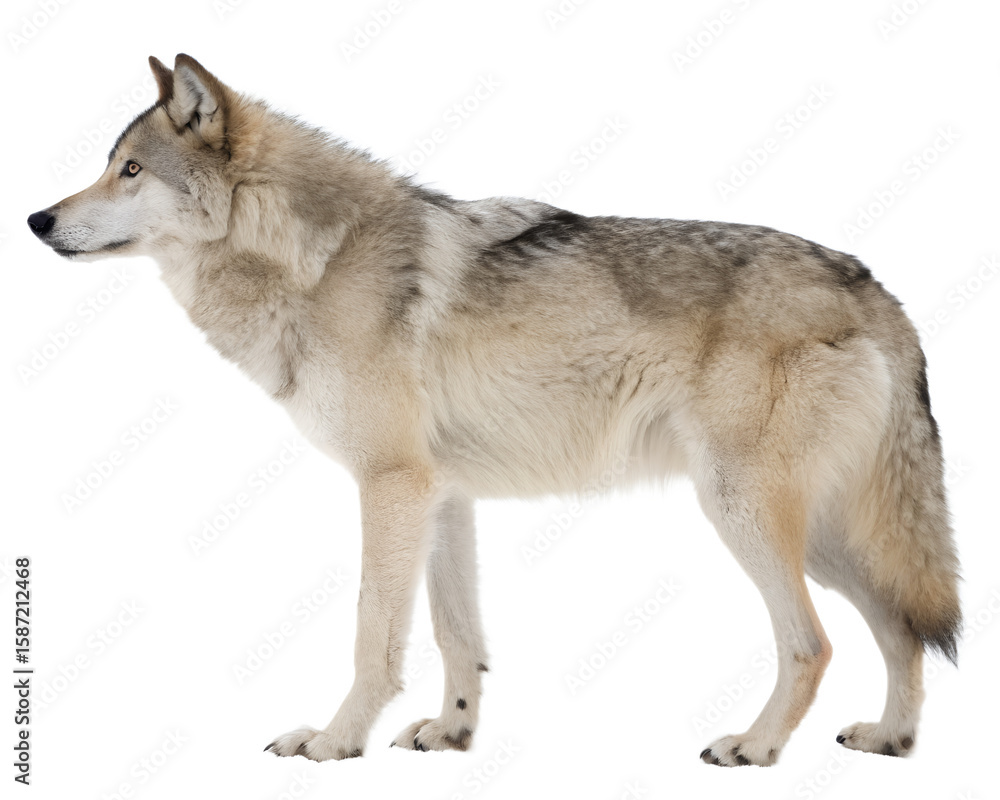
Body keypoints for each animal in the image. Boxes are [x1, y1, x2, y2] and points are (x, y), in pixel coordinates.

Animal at [28, 54, 961, 767]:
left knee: (815, 642)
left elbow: (373, 632)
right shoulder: (442, 496)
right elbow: (456, 637)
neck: (313, 258)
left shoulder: (390, 485)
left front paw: (334, 741)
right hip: (827, 532)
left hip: (747, 514)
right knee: (903, 627)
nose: (36, 218)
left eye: (130, 170)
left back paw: (755, 747)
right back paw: (891, 740)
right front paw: (453, 734)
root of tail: (872, 283)